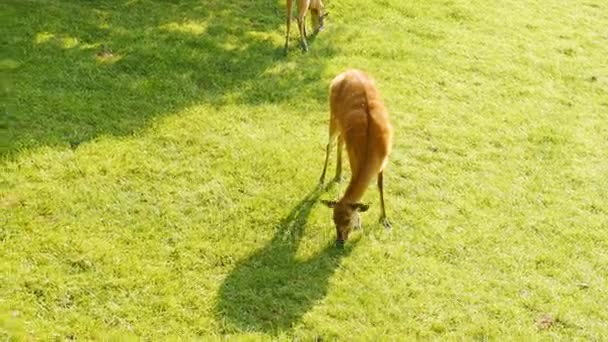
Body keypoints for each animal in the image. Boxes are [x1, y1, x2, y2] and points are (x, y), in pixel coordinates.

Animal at [318, 69, 394, 246]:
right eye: (333, 219)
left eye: (348, 219)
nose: (339, 241)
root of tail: (347, 71)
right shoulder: (353, 158)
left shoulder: (384, 161)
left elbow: (380, 186)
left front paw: (385, 220)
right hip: (332, 112)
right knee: (330, 144)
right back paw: (322, 179)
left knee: (339, 141)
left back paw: (338, 175)